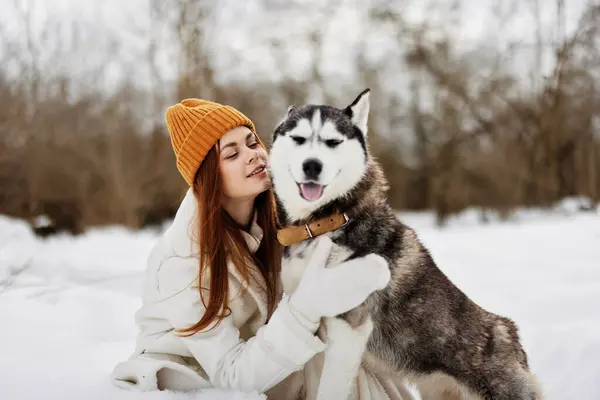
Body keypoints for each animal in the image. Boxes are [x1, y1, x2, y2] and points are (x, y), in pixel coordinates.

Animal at [270, 90, 540, 400]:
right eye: (298, 139)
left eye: (333, 142)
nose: (312, 165)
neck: (325, 221)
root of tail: (509, 332)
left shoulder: (348, 327)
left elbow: (331, 389)